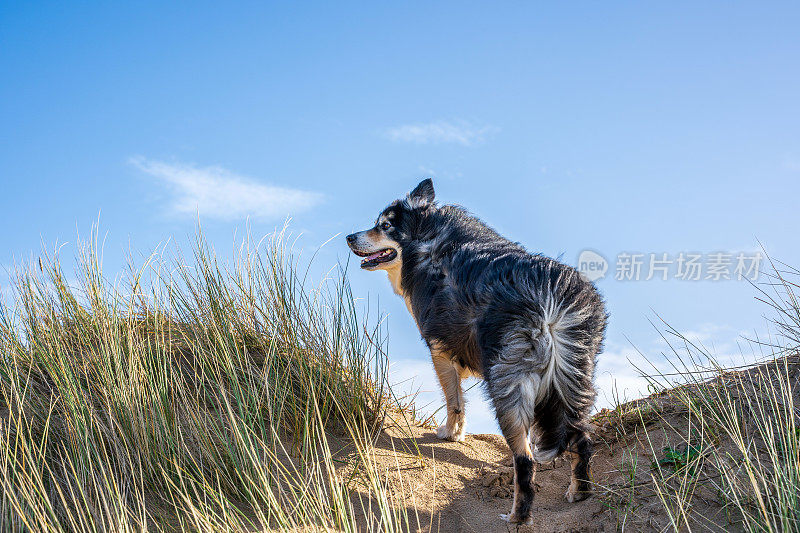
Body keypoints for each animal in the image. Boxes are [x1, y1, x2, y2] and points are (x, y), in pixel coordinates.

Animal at [346, 179, 608, 524]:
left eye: (384, 226)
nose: (349, 236)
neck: (427, 238)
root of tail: (550, 298)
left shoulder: (439, 349)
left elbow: (454, 400)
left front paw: (450, 433)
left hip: (507, 382)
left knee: (525, 460)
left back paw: (517, 517)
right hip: (575, 377)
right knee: (582, 439)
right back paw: (580, 492)